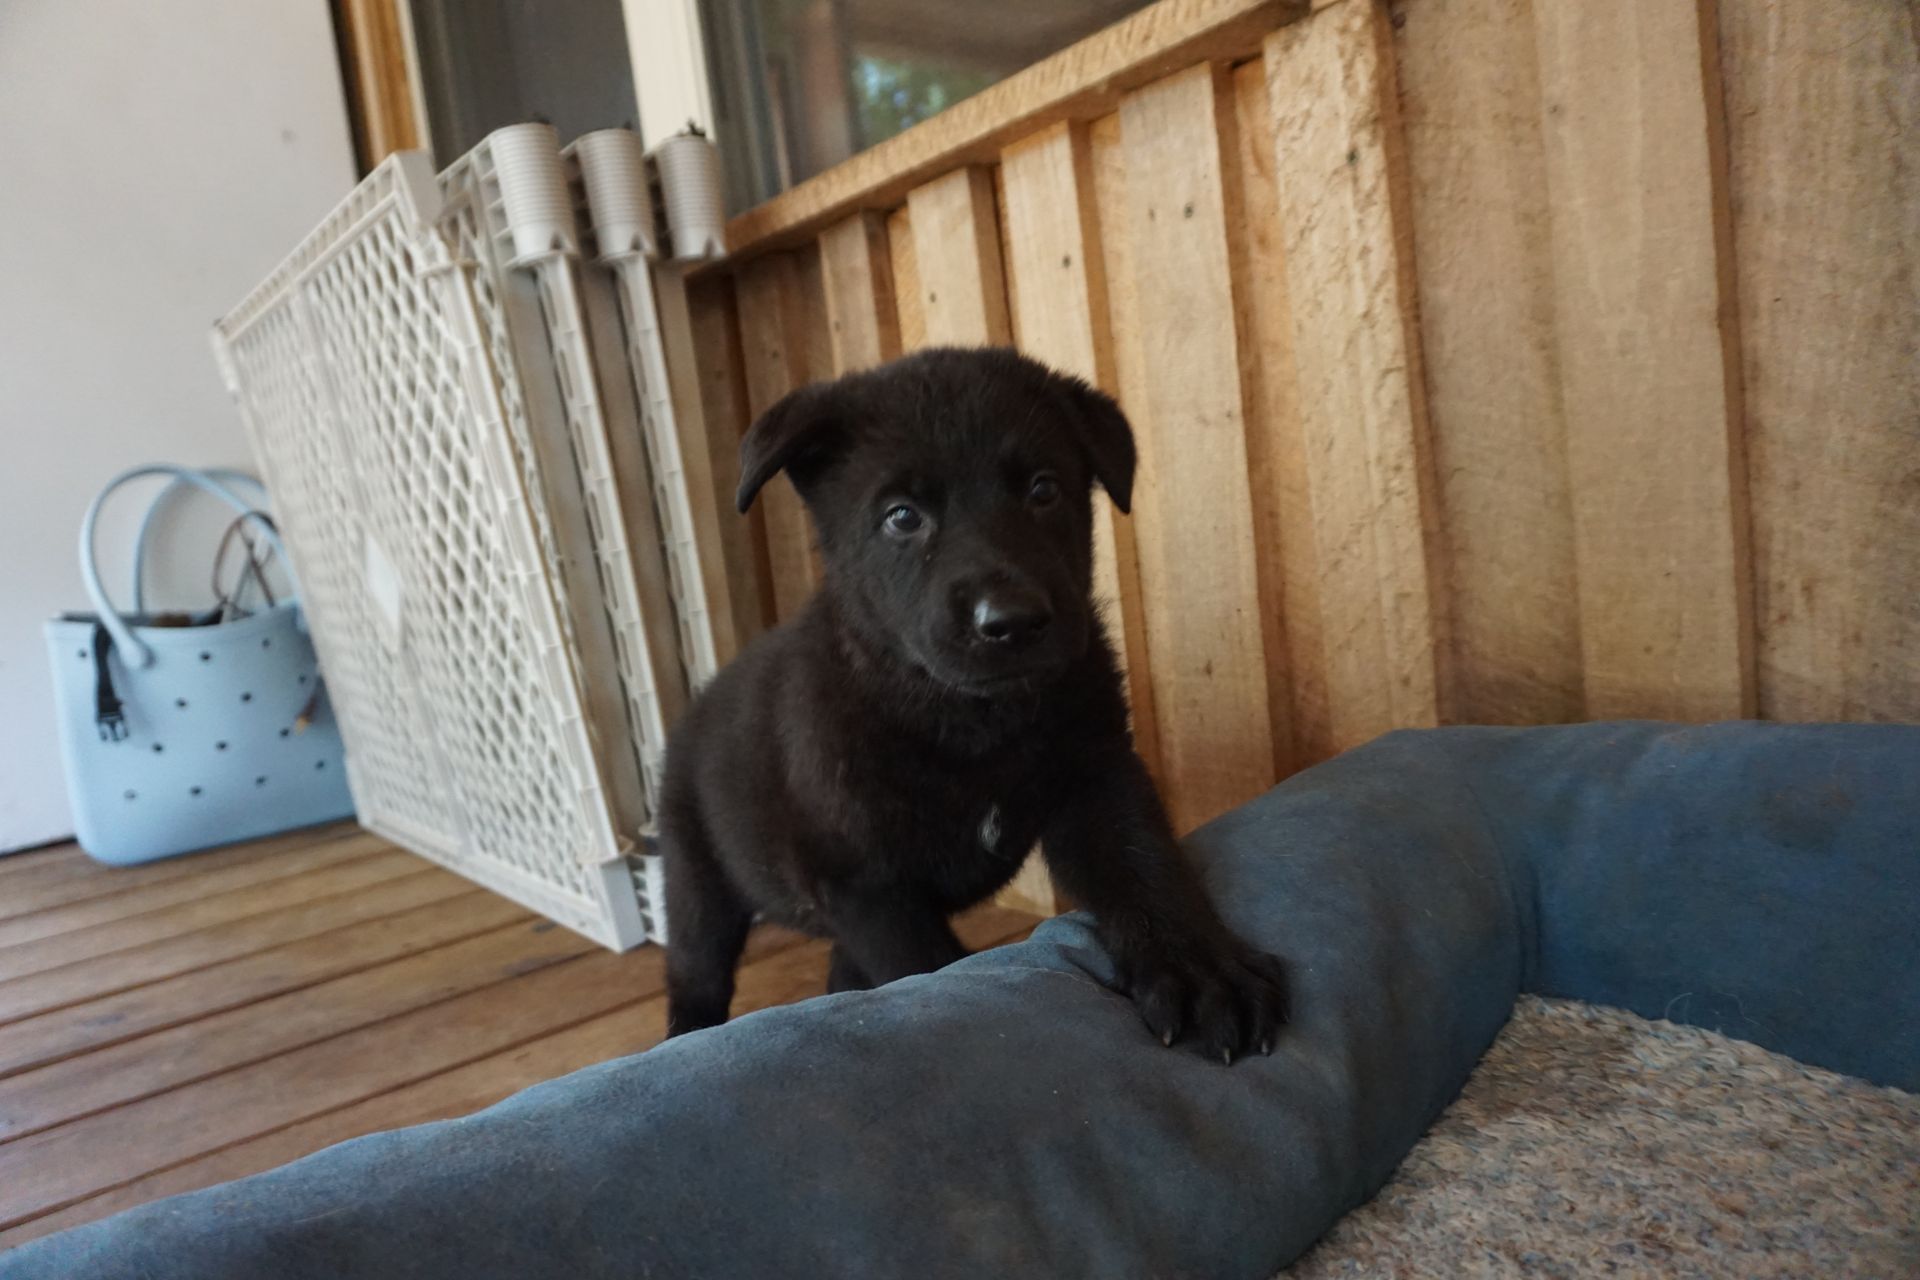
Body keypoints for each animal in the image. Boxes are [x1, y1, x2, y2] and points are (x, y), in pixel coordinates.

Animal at [660, 345, 1290, 1059]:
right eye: (902, 515)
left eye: (1044, 489)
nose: (1011, 622)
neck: (972, 720)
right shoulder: (863, 884)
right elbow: (927, 969)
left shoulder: (1097, 774)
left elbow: (1145, 868)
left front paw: (1202, 972)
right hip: (697, 877)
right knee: (697, 971)